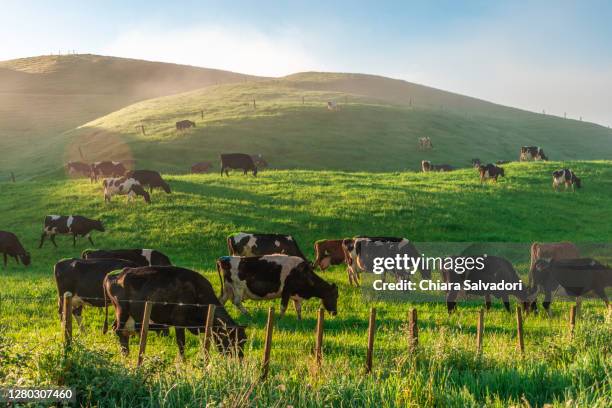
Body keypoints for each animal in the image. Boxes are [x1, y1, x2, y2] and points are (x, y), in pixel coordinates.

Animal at [104, 264, 245, 356]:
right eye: (234, 340)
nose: (239, 360)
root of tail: (114, 274)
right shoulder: (179, 321)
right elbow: (181, 343)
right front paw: (183, 362)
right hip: (122, 310)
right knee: (119, 331)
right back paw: (125, 354)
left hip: (124, 315)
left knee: (118, 329)